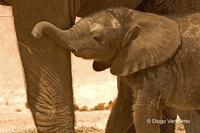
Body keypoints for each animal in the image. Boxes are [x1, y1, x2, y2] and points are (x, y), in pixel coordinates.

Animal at [32, 7, 200, 133]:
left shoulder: (159, 68)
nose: (36, 33)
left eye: (96, 37)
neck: (137, 18)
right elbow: (122, 107)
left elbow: (143, 110)